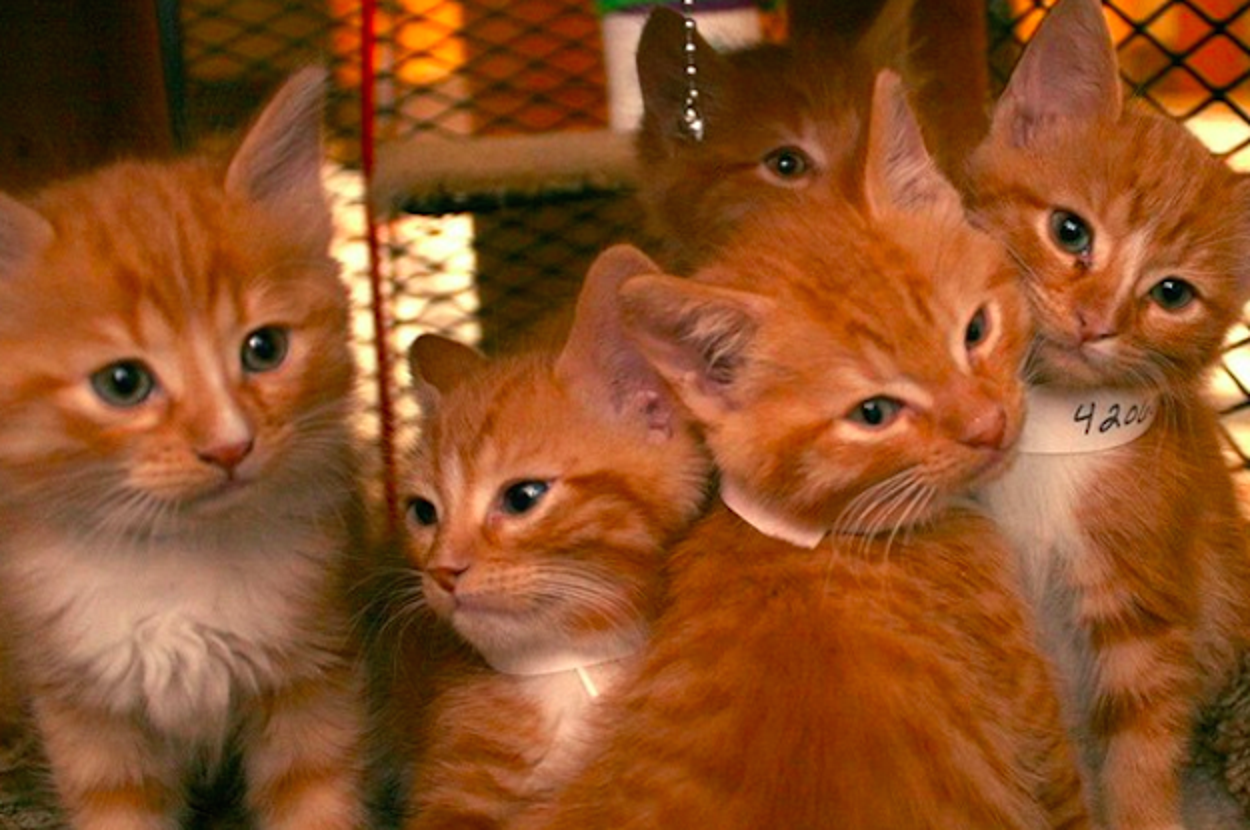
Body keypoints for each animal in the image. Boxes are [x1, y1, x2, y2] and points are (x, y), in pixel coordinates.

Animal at [0, 69, 368, 829]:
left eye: (265, 348)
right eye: (123, 383)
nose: (230, 445)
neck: (175, 562)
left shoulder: (315, 672)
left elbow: (316, 798)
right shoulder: (85, 712)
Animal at [965, 1, 1250, 827]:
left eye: (1172, 294)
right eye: (1070, 231)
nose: (1097, 321)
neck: (1052, 434)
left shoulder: (1148, 603)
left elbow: (1142, 744)